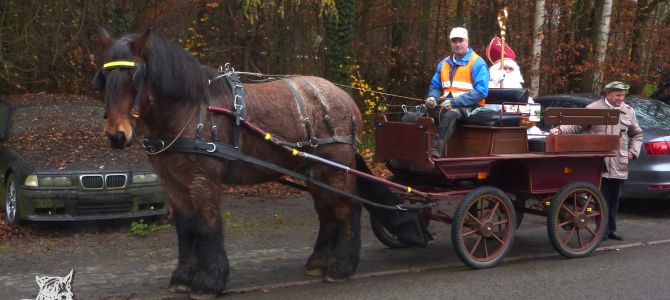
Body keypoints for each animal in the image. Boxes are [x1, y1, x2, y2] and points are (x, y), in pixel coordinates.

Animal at [94, 28, 426, 298]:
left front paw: (209, 281)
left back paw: (341, 267)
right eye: (105, 78)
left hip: (335, 166)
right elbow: (186, 227)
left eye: (135, 77)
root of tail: (343, 98)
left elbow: (208, 225)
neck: (190, 111)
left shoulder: (203, 180)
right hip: (314, 170)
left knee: (348, 209)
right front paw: (183, 278)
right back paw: (319, 262)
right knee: (327, 212)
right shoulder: (173, 181)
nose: (116, 135)